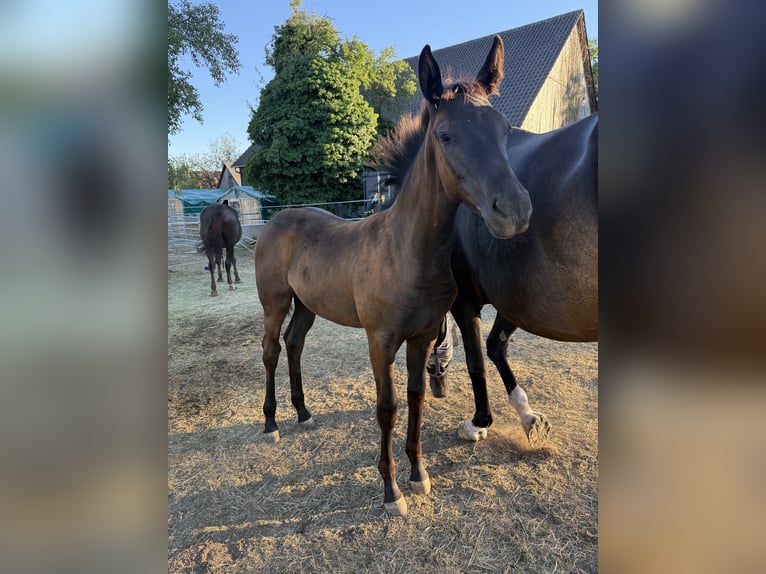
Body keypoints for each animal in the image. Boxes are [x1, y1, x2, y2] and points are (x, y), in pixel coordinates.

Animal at [254, 36, 532, 516]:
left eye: (503, 130)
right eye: (445, 135)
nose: (513, 210)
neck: (407, 252)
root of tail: (277, 220)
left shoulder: (421, 338)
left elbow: (416, 399)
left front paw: (418, 475)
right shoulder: (380, 341)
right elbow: (388, 407)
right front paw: (391, 491)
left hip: (307, 305)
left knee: (294, 344)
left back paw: (303, 413)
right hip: (275, 302)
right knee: (272, 350)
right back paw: (272, 423)